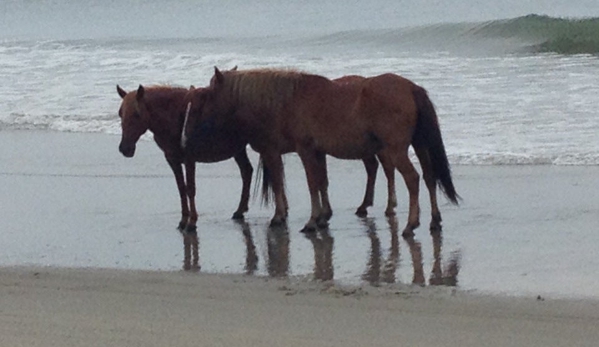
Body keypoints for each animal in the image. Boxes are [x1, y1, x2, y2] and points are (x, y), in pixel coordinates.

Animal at [183, 68, 460, 237]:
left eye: (206, 96)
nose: (190, 131)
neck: (284, 102)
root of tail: (411, 88)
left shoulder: (304, 150)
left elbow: (310, 184)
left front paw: (311, 220)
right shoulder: (317, 152)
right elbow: (322, 183)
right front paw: (323, 217)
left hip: (396, 150)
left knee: (413, 179)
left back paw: (411, 224)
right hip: (419, 146)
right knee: (429, 177)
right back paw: (434, 220)